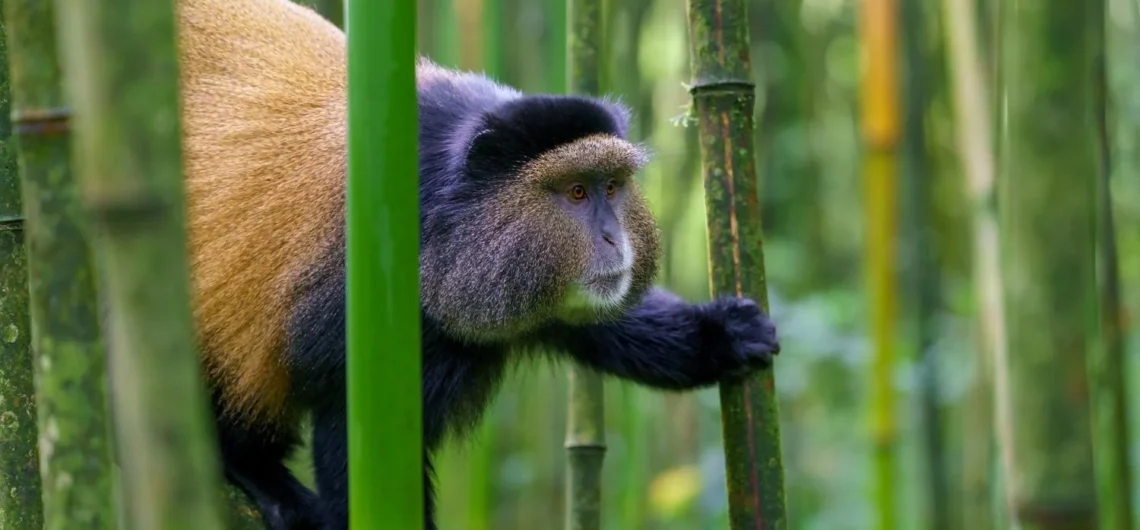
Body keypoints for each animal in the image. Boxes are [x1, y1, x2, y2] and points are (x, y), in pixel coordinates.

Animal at [173, 0, 781, 528]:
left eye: (611, 187)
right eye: (576, 192)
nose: (613, 238)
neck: (449, 207)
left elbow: (598, 326)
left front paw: (723, 333)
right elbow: (354, 435)